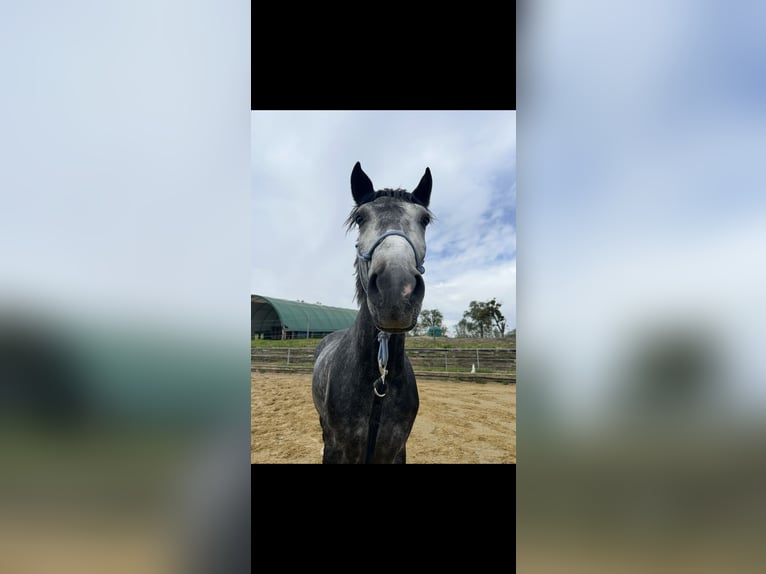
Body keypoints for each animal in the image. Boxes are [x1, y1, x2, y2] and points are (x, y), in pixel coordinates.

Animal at [312, 162, 433, 464]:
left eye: (424, 219)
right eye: (360, 218)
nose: (396, 289)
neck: (378, 384)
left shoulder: (395, 450)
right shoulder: (336, 449)